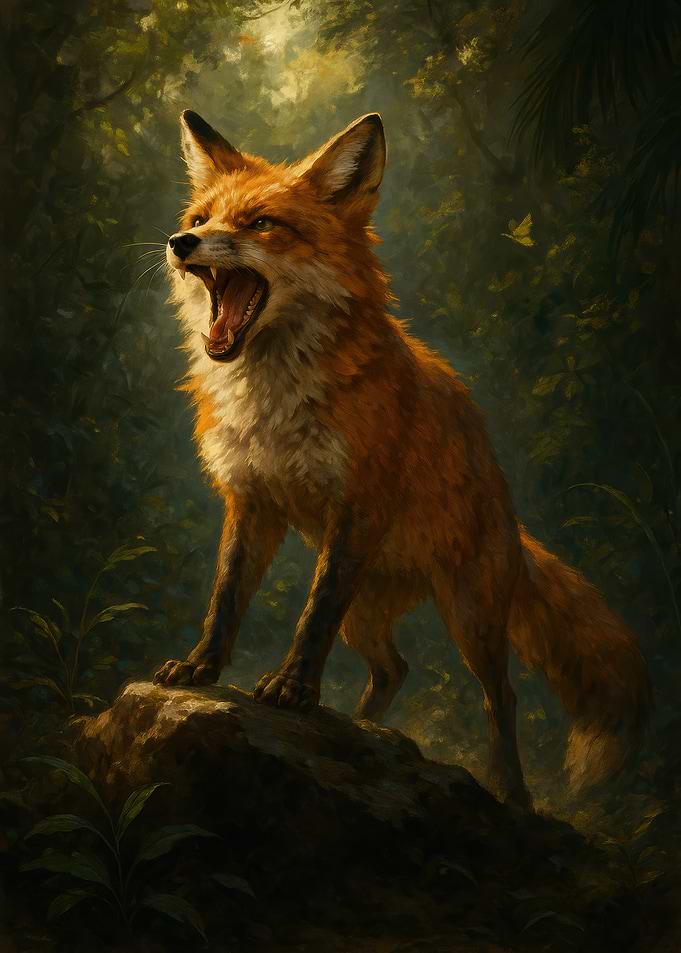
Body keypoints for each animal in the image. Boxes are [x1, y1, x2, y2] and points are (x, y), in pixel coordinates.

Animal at [153, 108, 652, 807]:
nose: (180, 242)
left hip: (470, 617)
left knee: (501, 697)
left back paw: (510, 792)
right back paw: (365, 729)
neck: (273, 397)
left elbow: (313, 614)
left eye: (260, 225)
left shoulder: (357, 506)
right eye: (201, 219)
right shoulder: (251, 500)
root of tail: (511, 518)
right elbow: (225, 597)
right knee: (395, 668)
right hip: (369, 615)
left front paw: (292, 689)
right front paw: (202, 667)